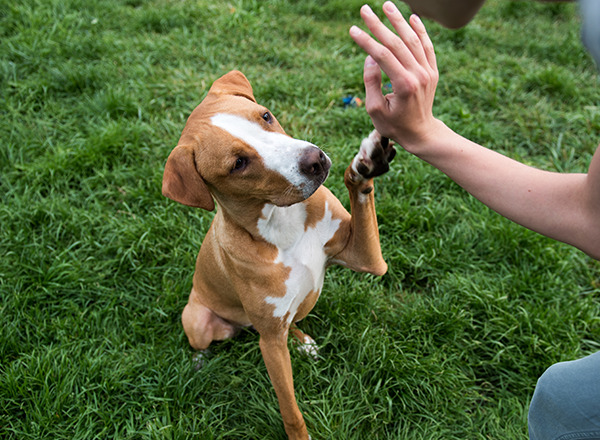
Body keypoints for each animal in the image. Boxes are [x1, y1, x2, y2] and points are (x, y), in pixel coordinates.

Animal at [162, 70, 396, 438]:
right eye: (238, 163)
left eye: (266, 116)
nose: (314, 160)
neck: (282, 222)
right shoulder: (270, 345)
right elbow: (290, 409)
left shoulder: (368, 259)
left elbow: (360, 191)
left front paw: (367, 162)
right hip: (199, 319)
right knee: (203, 340)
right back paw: (200, 363)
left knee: (291, 321)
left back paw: (302, 341)